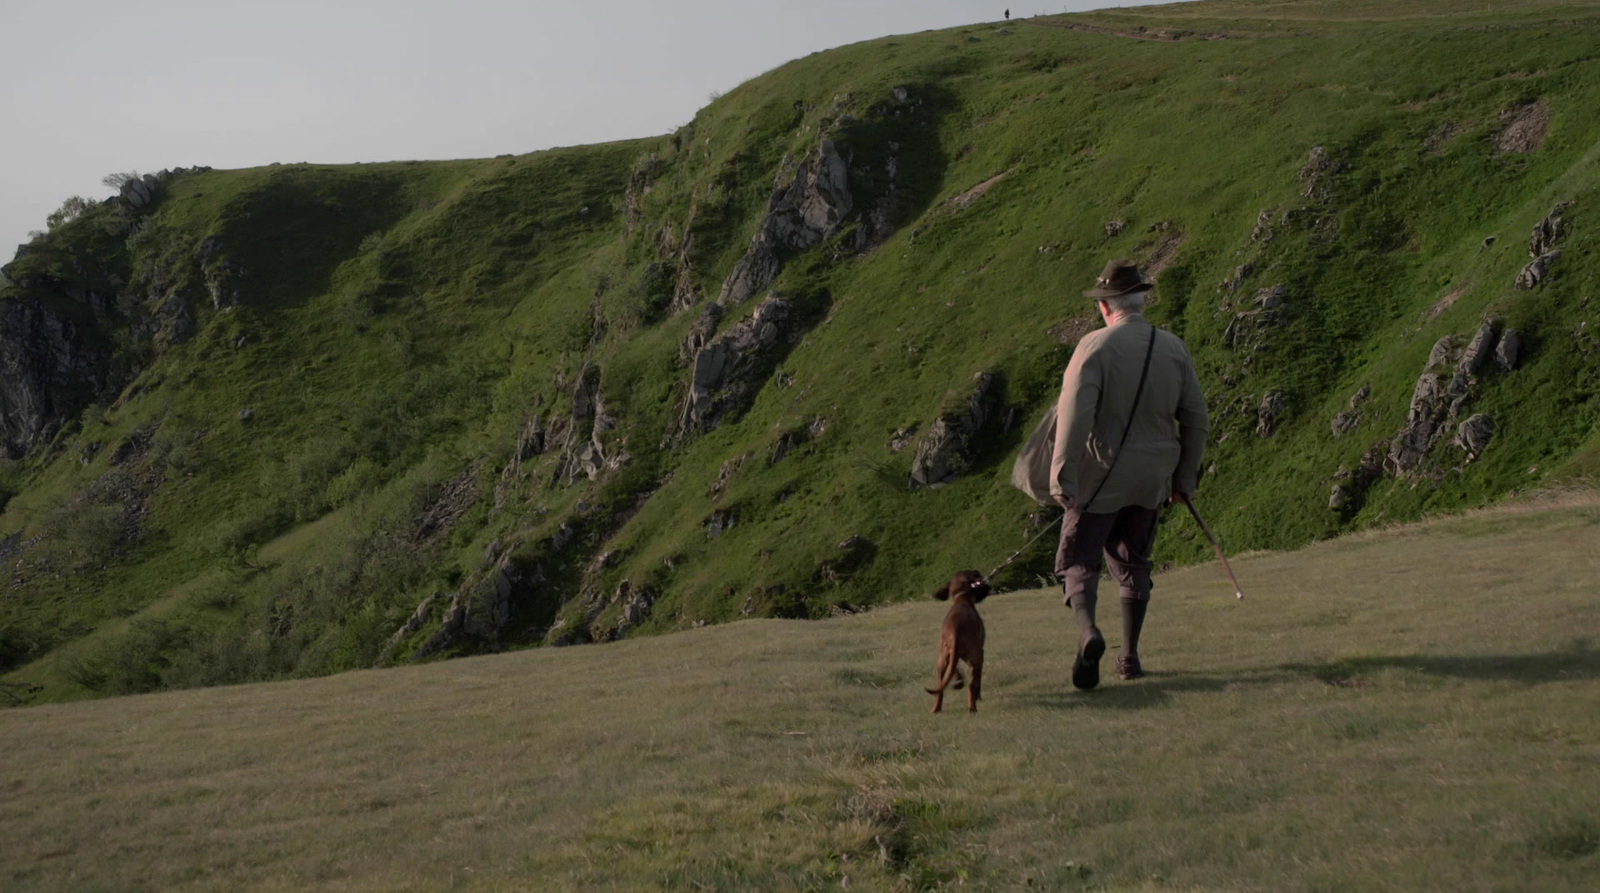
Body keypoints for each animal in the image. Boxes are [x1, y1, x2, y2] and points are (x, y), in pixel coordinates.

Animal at [928, 572, 985, 713]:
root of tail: (955, 629)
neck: (962, 598)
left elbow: (954, 670)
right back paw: (972, 708)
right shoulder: (980, 653)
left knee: (941, 685)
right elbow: (978, 680)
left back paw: (936, 709)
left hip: (942, 658)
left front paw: (958, 680)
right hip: (975, 657)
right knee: (971, 685)